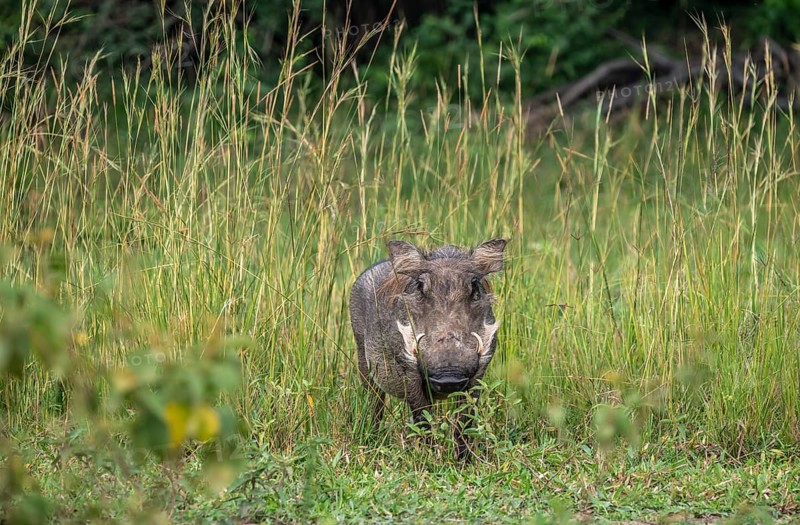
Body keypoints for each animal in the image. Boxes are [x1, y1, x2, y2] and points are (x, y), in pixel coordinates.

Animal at [349, 239, 507, 459]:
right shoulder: (408, 373)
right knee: (374, 404)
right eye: (420, 287)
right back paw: (372, 440)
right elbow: (422, 418)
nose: (449, 377)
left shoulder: (478, 373)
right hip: (364, 365)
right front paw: (429, 458)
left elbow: (464, 421)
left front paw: (463, 461)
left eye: (475, 287)